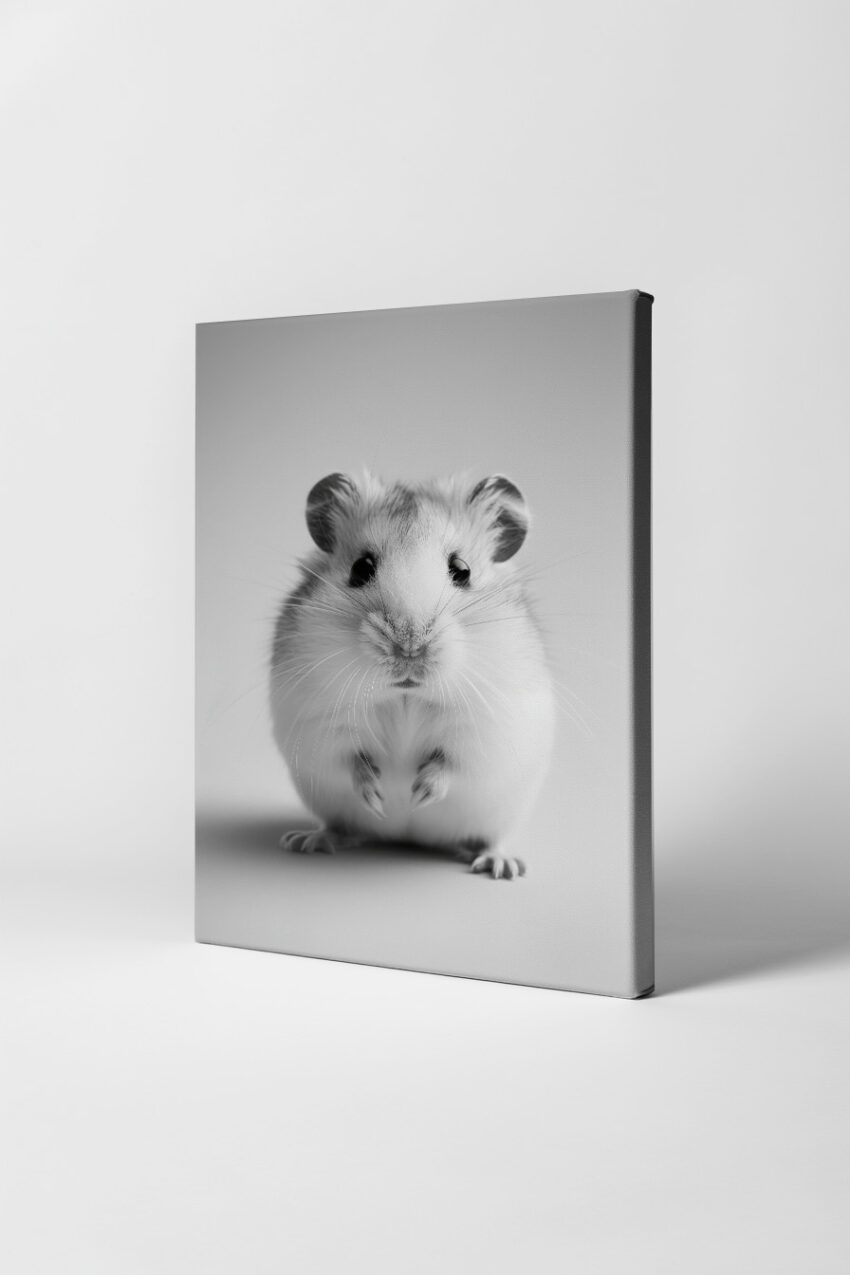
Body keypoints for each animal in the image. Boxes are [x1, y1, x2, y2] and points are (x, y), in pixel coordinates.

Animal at [269, 471, 555, 879]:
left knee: (486, 839)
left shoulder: (485, 727)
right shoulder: (320, 722)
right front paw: (379, 796)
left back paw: (502, 865)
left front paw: (417, 795)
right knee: (341, 827)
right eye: (360, 568)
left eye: (462, 570)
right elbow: (349, 759)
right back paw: (309, 840)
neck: (405, 694)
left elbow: (451, 763)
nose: (409, 648)